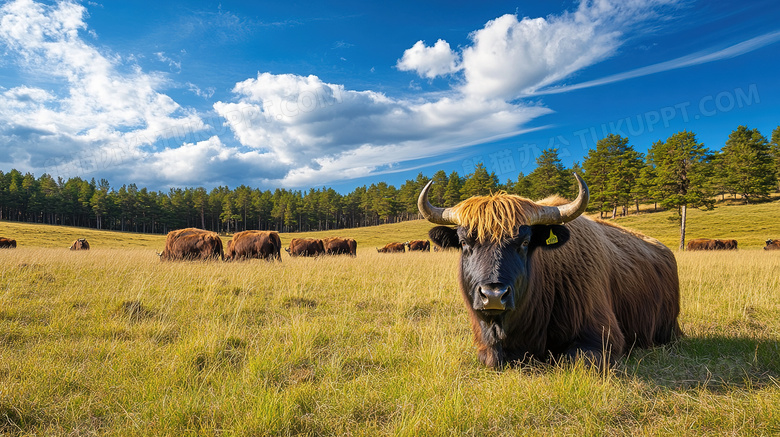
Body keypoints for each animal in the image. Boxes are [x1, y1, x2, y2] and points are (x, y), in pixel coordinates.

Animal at [418, 174, 680, 368]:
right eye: (464, 243)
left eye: (524, 242)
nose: (493, 296)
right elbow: (490, 358)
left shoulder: (602, 338)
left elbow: (573, 359)